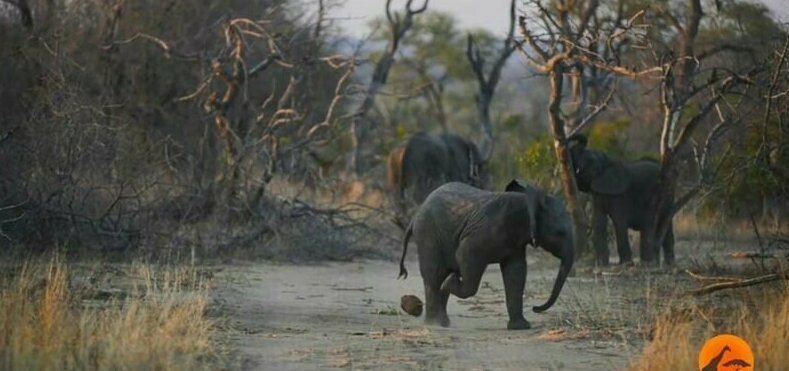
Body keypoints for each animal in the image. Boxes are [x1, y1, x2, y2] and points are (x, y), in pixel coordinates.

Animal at [398, 182, 576, 330]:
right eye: (560, 233)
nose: (535, 308)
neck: (527, 202)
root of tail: (415, 216)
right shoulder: (483, 233)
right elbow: (464, 253)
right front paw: (450, 281)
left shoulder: (516, 242)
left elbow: (516, 271)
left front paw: (520, 327)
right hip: (428, 234)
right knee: (435, 275)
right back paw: (437, 323)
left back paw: (442, 322)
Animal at [568, 135, 672, 266]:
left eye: (590, 161)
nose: (568, 139)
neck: (608, 163)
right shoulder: (597, 194)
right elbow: (599, 222)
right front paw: (602, 264)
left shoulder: (620, 195)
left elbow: (619, 222)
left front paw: (626, 263)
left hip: (666, 196)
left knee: (666, 225)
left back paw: (665, 264)